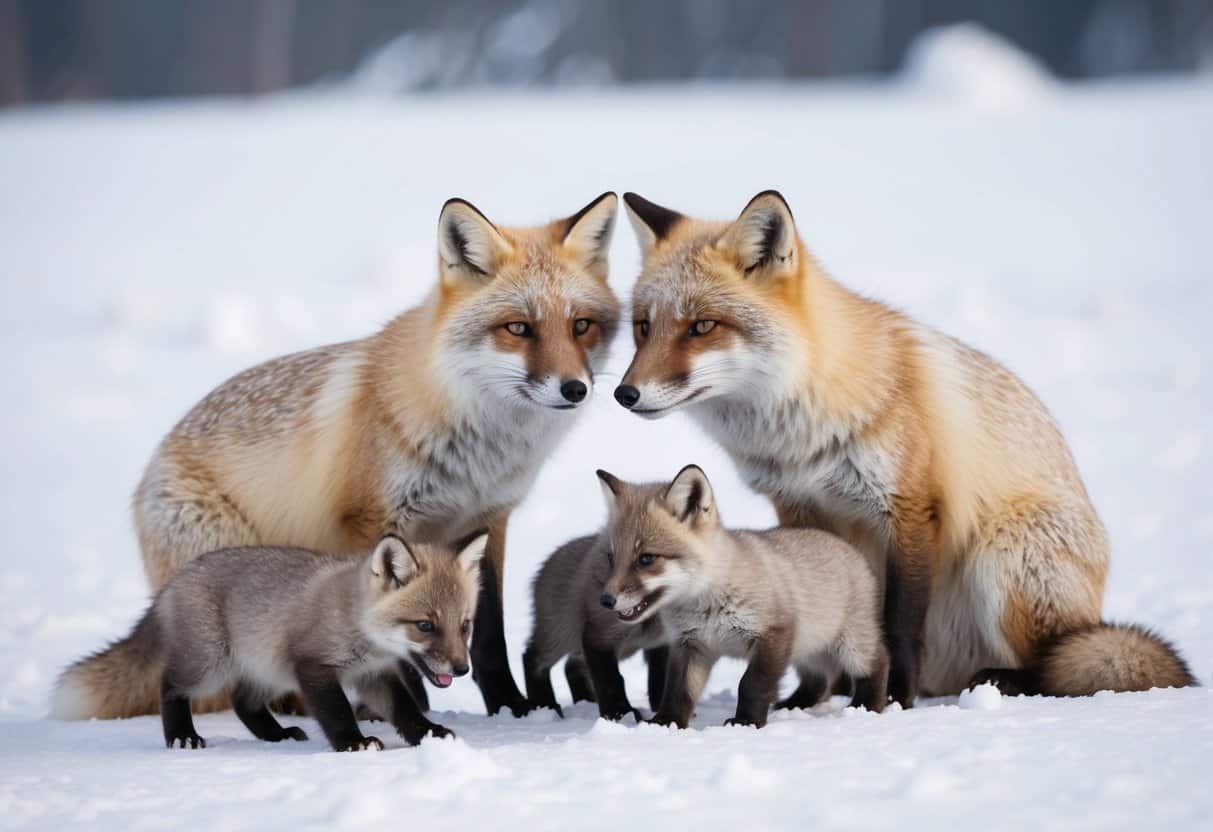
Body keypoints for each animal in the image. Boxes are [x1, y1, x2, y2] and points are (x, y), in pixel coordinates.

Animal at [52, 533, 485, 751]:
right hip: (209, 665)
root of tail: (175, 582)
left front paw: (430, 734)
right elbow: (337, 712)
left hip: (269, 671)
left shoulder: (374, 674)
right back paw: (181, 736)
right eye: (425, 625)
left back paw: (276, 735)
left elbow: (406, 711)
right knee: (170, 686)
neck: (355, 622)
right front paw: (352, 742)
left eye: (464, 626)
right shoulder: (313, 667)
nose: (463, 668)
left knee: (243, 701)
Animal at [88, 192, 622, 721]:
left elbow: (489, 634)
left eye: (581, 326)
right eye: (518, 328)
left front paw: (512, 710)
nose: (575, 389)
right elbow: (388, 635)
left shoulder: (490, 520)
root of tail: (146, 475)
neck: (476, 449)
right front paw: (410, 711)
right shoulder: (372, 522)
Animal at [522, 534, 669, 721]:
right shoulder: (600, 637)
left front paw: (659, 711)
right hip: (560, 636)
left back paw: (586, 702)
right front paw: (620, 714)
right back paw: (546, 705)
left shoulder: (664, 642)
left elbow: (660, 680)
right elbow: (611, 681)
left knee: (571, 666)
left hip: (619, 647)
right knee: (533, 659)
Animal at [596, 465, 888, 729]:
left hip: (850, 646)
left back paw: (867, 706)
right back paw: (794, 705)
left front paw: (746, 722)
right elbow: (677, 691)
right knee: (818, 680)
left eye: (646, 558)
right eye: (611, 559)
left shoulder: (773, 633)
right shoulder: (690, 645)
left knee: (879, 662)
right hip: (807, 648)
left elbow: (751, 684)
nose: (606, 601)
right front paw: (666, 722)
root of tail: (844, 544)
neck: (706, 604)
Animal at [614, 189, 1196, 705]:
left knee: (1055, 663)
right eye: (643, 327)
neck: (802, 432)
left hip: (1005, 558)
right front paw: (809, 696)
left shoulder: (910, 508)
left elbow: (899, 625)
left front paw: (893, 698)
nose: (625, 394)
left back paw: (1000, 681)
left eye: (702, 326)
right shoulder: (798, 507)